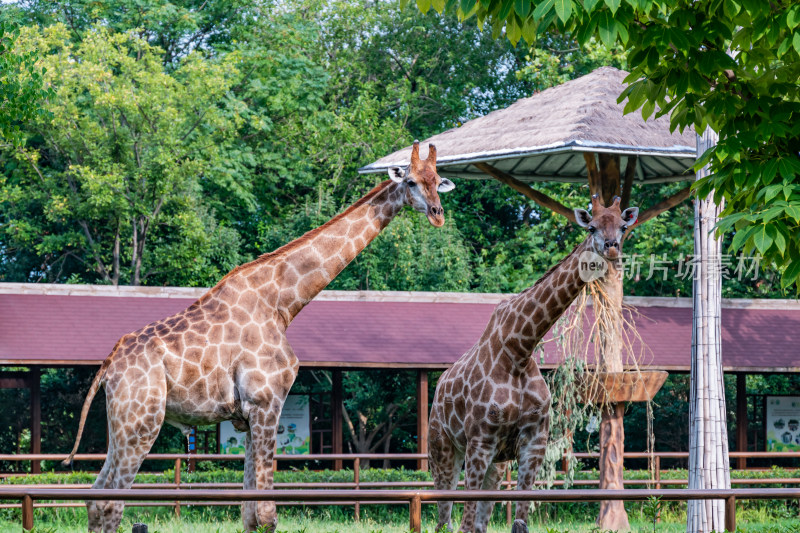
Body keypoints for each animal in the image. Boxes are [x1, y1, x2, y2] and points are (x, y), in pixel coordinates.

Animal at [65, 141, 454, 532]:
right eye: (411, 182)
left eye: (437, 181)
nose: (438, 214)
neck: (282, 303)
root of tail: (108, 367)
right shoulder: (266, 401)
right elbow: (267, 513)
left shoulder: (248, 414)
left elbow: (249, 511)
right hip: (141, 421)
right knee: (111, 501)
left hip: (122, 424)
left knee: (95, 497)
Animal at [428, 195, 640, 532]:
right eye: (591, 227)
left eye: (622, 226)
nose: (611, 248)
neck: (520, 349)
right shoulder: (480, 441)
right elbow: (466, 522)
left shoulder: (533, 442)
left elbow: (518, 522)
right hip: (443, 448)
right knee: (444, 519)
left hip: (496, 463)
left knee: (475, 521)